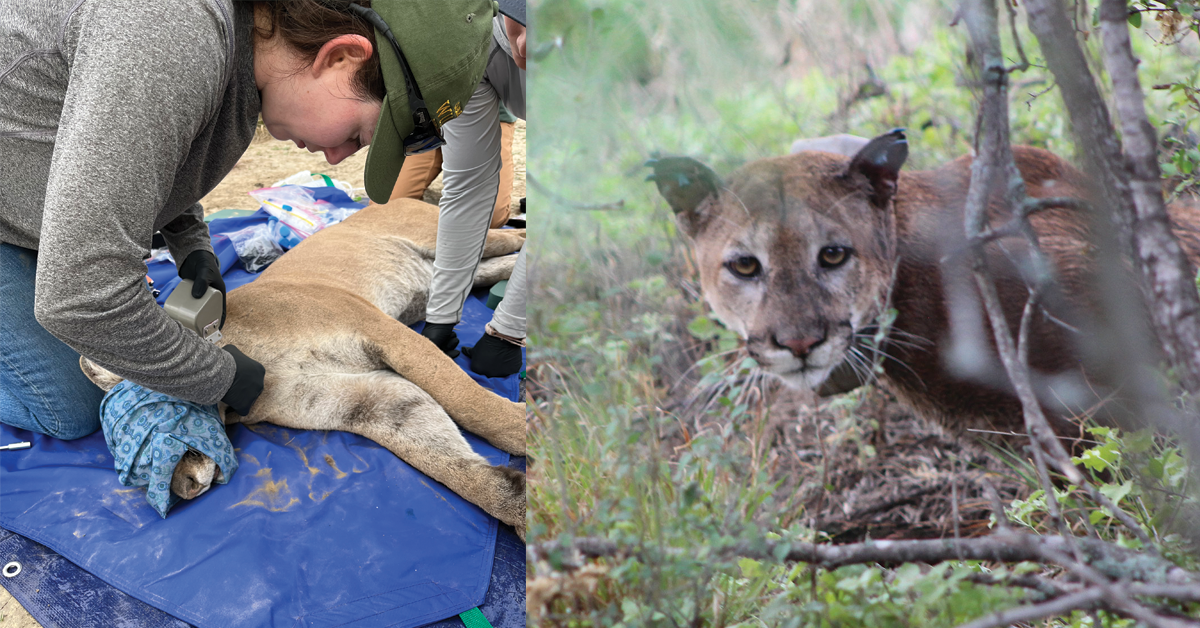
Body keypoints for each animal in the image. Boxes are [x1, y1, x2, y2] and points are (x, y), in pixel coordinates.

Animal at [80, 198, 527, 539]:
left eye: (147, 422)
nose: (183, 489)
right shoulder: (368, 398)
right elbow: (437, 452)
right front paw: (511, 499)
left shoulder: (383, 332)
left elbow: (469, 402)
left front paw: (526, 431)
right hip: (458, 271)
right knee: (502, 263)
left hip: (456, 238)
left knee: (516, 238)